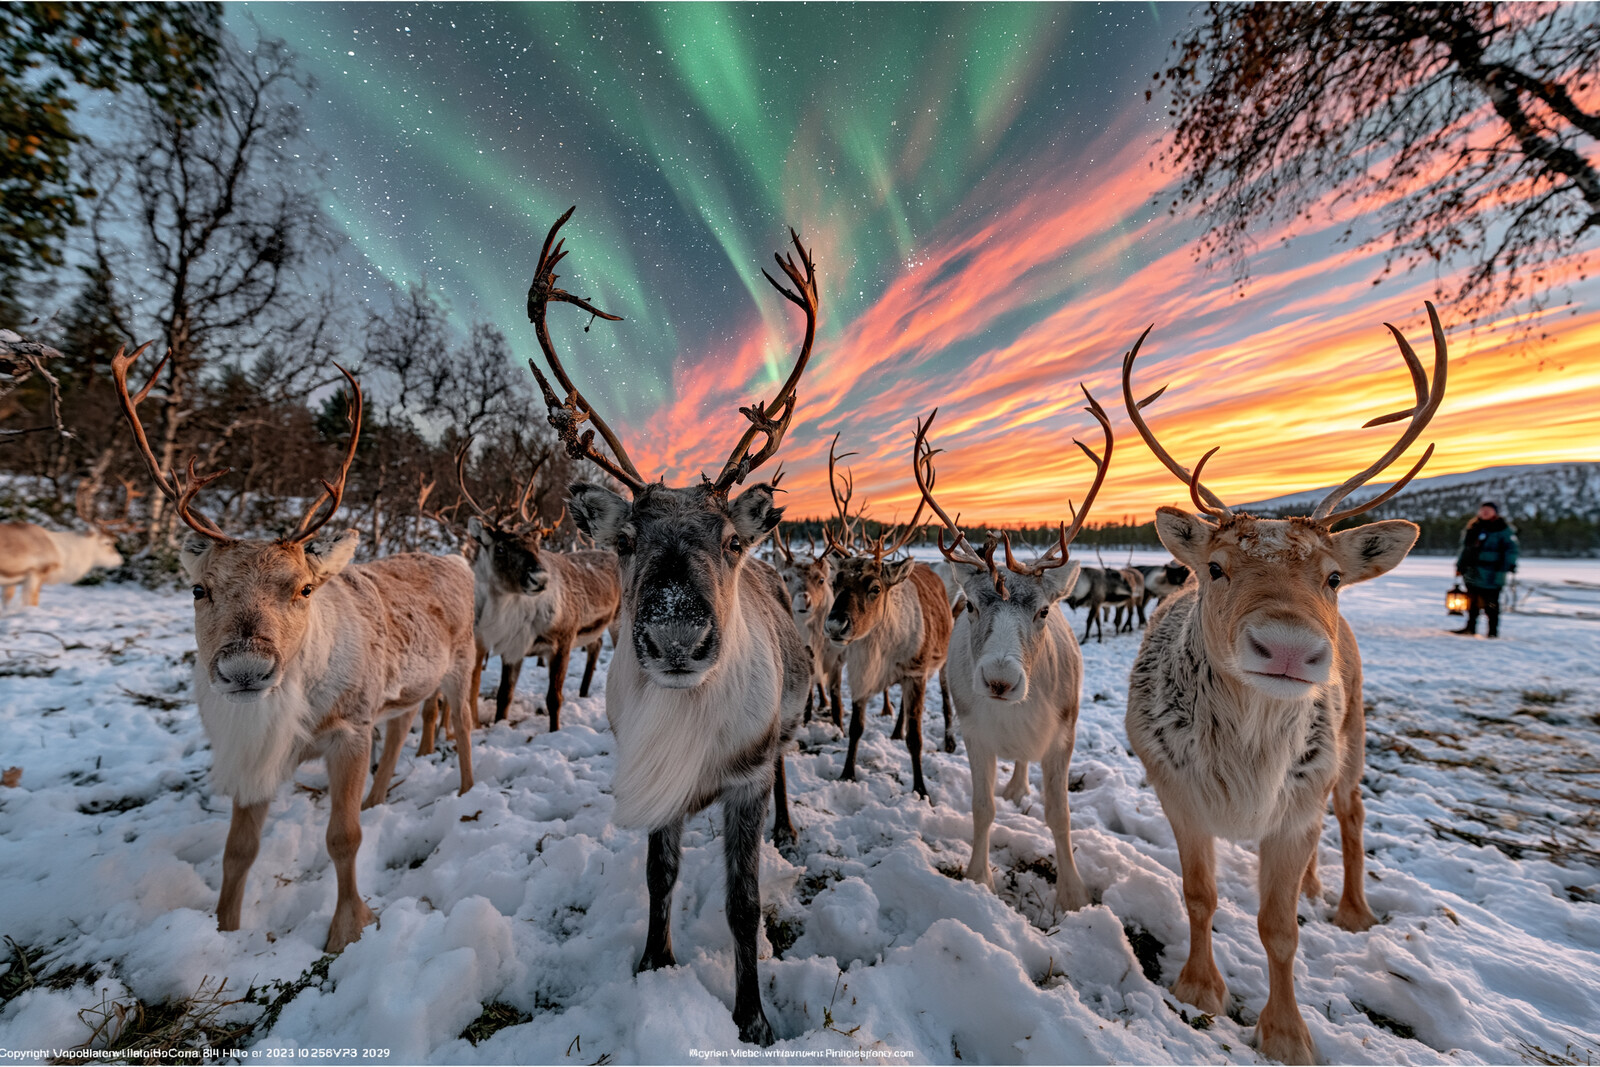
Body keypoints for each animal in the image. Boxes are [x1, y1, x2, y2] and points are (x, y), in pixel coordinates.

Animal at [110, 342, 479, 953]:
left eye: (305, 588)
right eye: (198, 589)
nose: (246, 668)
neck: (297, 713)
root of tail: (457, 558)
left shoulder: (350, 728)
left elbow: (344, 837)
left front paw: (347, 929)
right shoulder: (257, 752)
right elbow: (238, 850)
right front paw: (224, 927)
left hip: (462, 661)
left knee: (465, 723)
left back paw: (468, 796)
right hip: (403, 688)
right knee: (403, 722)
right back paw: (380, 797)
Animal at [458, 447, 621, 732]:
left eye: (536, 546)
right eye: (501, 548)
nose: (540, 579)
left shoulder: (564, 639)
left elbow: (554, 697)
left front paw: (555, 730)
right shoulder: (512, 650)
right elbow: (504, 696)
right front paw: (500, 723)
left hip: (618, 620)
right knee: (596, 645)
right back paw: (583, 692)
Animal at [523, 208, 815, 1047]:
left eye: (728, 541)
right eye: (625, 540)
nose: (678, 636)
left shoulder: (745, 775)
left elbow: (745, 904)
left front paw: (752, 1015)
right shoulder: (652, 777)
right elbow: (659, 874)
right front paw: (655, 961)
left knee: (787, 773)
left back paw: (789, 828)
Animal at [912, 389, 1111, 912]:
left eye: (1043, 611)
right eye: (972, 606)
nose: (1000, 681)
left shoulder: (1064, 733)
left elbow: (1060, 815)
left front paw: (1073, 894)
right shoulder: (974, 733)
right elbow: (982, 808)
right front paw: (978, 877)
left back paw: (1020, 786)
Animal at [1119, 304, 1447, 1064]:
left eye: (1332, 576)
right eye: (1214, 568)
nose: (1292, 647)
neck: (1246, 763)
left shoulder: (1294, 806)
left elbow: (1279, 929)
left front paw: (1287, 1032)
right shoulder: (1177, 789)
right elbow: (1200, 894)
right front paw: (1199, 987)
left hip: (1351, 741)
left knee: (1351, 814)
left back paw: (1351, 907)